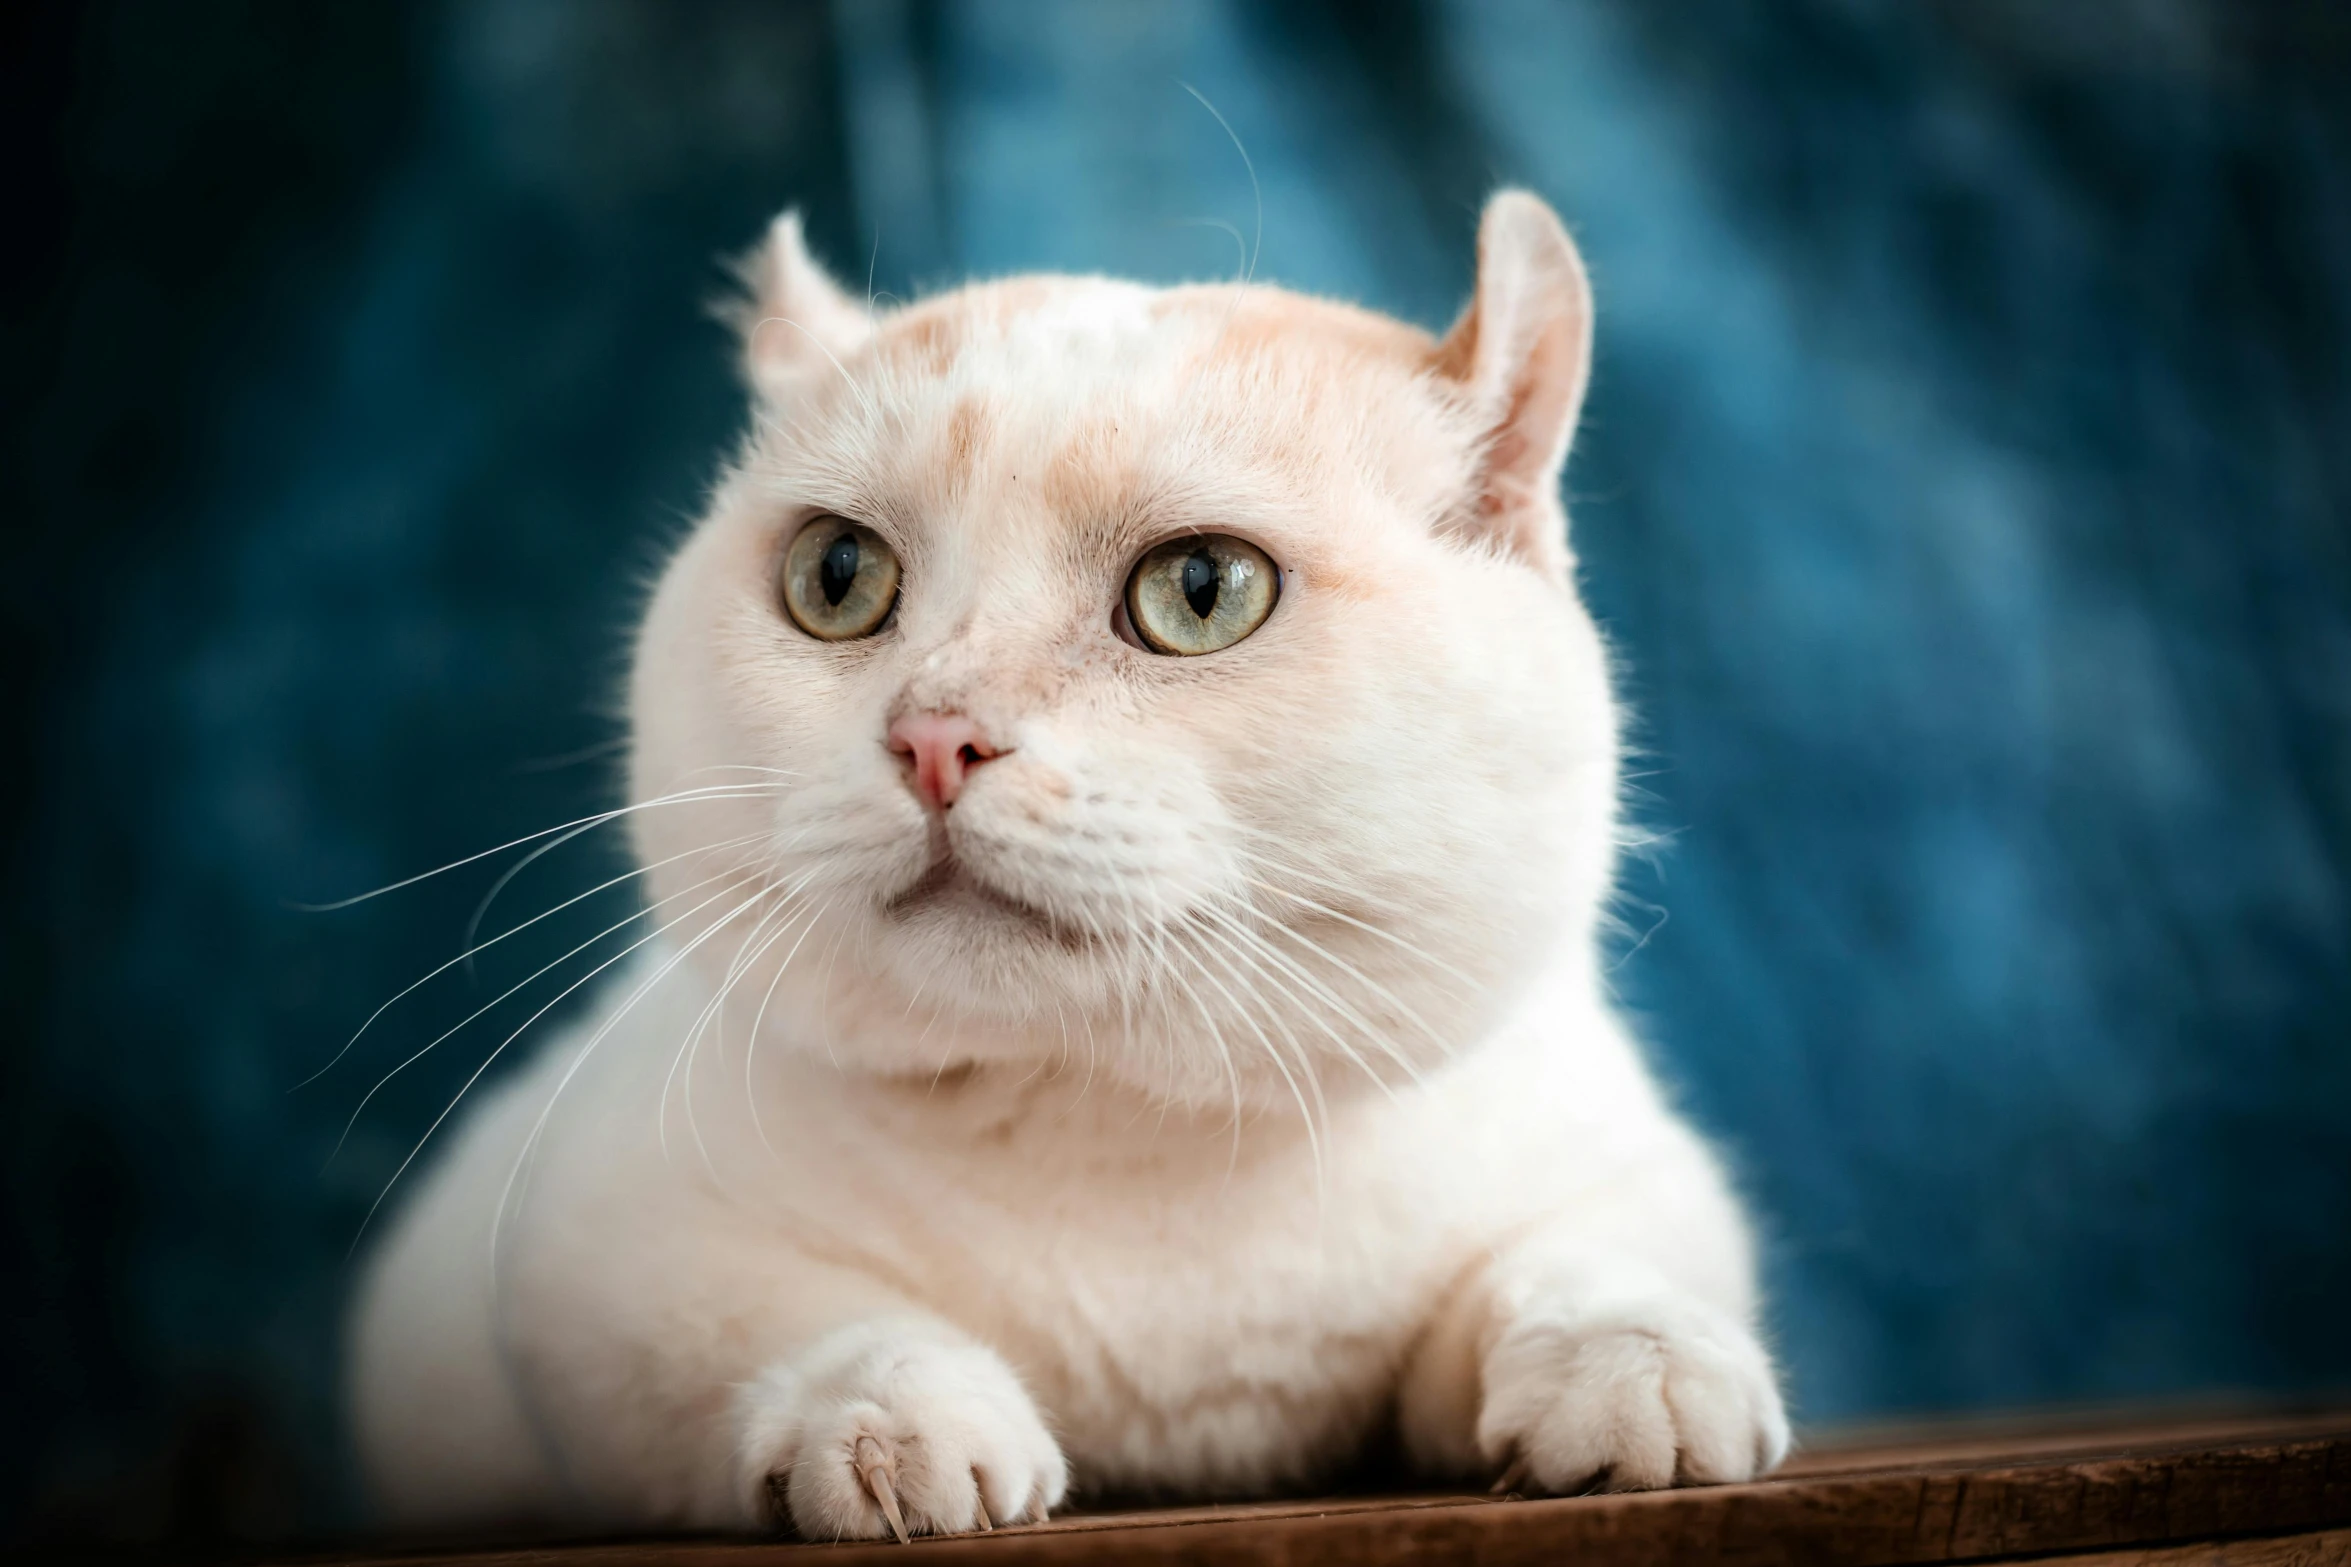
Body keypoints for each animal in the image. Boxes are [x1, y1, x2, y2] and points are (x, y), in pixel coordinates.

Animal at [343, 186, 1777, 1541]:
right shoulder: (587, 1246)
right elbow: (774, 1318)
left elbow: (1582, 1261)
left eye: (1200, 589)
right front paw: (887, 1419)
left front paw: (1634, 1369)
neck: (1116, 1132)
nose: (933, 734)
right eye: (837, 574)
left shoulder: (1629, 1167)